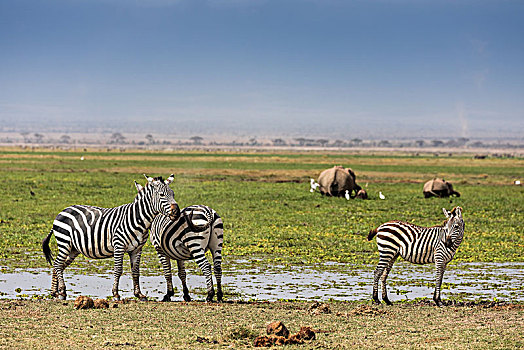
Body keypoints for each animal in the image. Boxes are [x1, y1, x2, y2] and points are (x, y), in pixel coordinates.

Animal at [42, 175, 180, 300]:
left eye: (173, 194)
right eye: (162, 195)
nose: (177, 212)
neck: (138, 219)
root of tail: (62, 211)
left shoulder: (137, 249)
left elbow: (136, 271)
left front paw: (139, 294)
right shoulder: (119, 246)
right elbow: (118, 270)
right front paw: (116, 294)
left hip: (73, 249)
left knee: (58, 265)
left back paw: (55, 292)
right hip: (65, 243)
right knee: (57, 264)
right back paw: (62, 291)